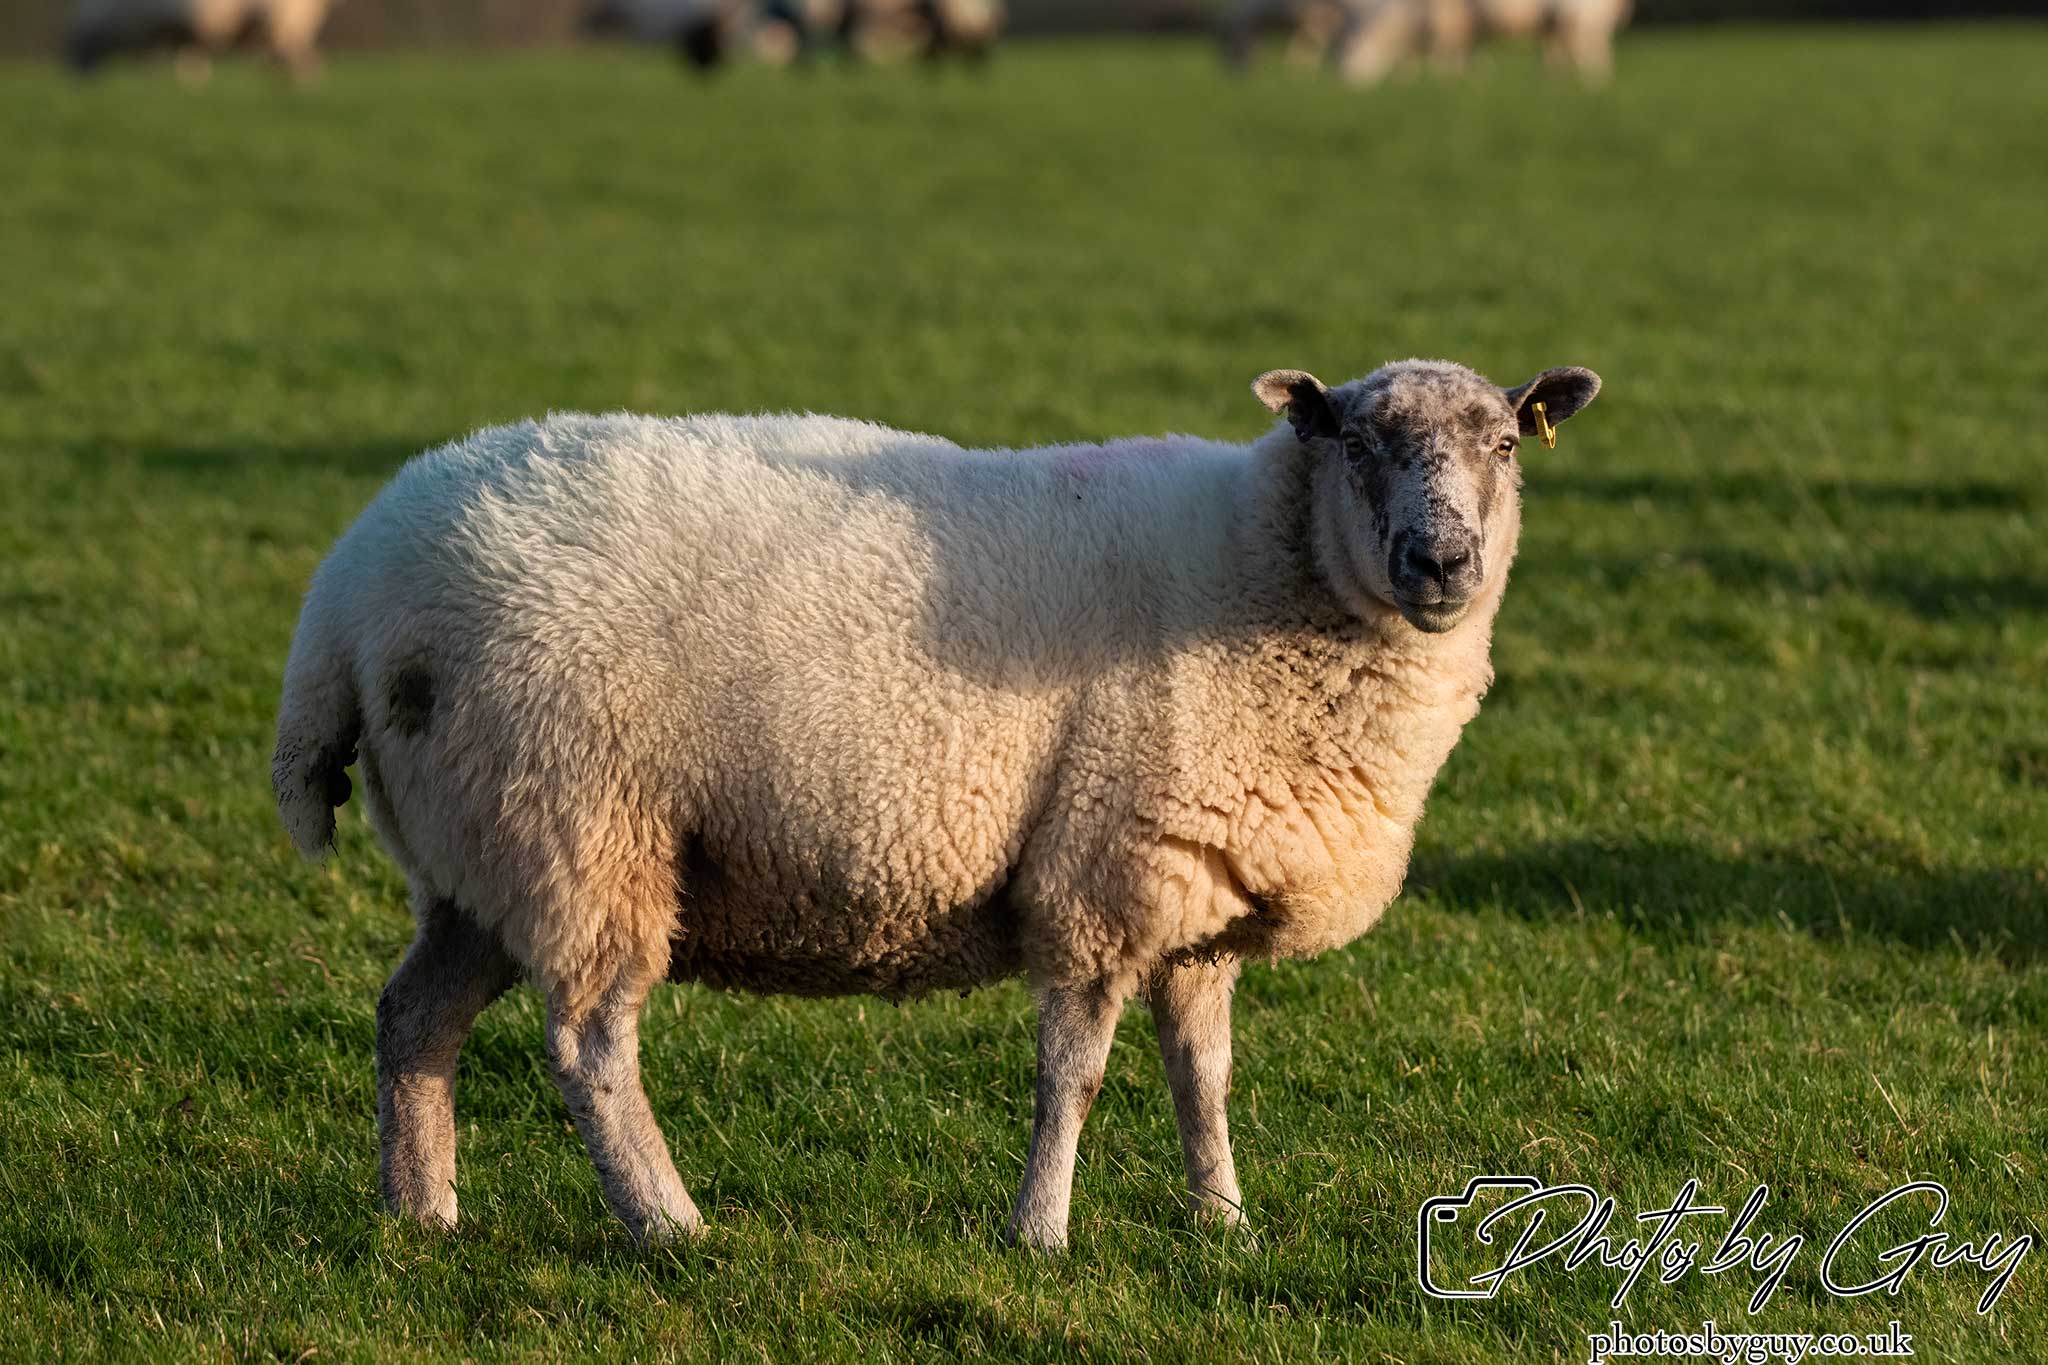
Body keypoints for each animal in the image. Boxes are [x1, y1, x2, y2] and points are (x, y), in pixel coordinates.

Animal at [273, 357, 1600, 1249]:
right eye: (1357, 445)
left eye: (1504, 445)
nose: (1440, 564)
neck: (1263, 569)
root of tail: (344, 596)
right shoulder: (1101, 875)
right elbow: (1074, 1073)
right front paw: (1040, 1233)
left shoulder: (1197, 897)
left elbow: (1203, 1075)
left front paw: (1221, 1220)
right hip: (580, 824)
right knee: (589, 1046)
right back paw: (670, 1224)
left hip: (479, 850)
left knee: (413, 1020)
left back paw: (421, 1214)